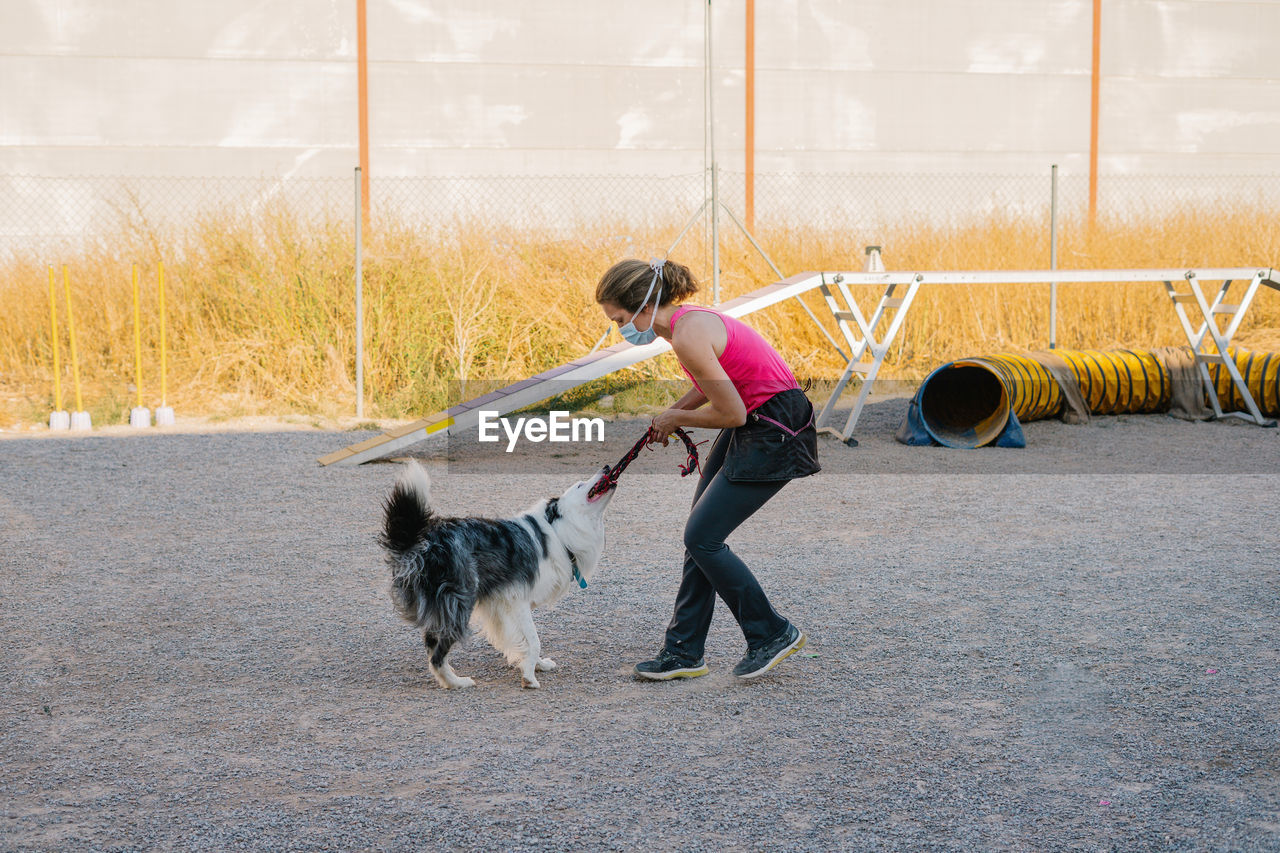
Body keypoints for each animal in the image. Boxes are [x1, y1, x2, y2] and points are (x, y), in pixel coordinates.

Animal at [378, 461, 614, 686]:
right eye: (580, 485)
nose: (607, 467)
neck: (557, 532)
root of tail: (421, 541)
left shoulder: (504, 605)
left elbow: (524, 641)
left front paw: (536, 665)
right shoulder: (517, 599)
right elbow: (534, 641)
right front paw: (529, 677)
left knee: (430, 644)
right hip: (461, 602)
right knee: (437, 654)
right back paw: (456, 682)